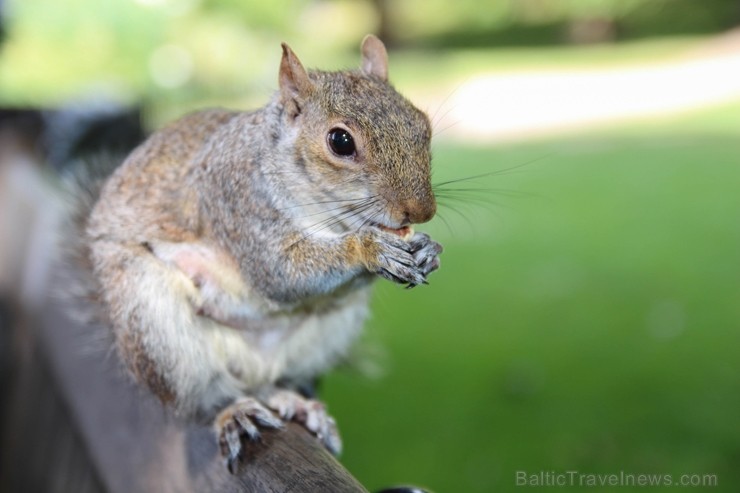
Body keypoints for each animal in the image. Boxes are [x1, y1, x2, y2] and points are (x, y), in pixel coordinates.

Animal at [79, 34, 442, 468]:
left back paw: (297, 405)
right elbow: (279, 273)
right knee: (204, 397)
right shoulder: (235, 200)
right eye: (340, 141)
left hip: (327, 332)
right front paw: (370, 249)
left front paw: (426, 251)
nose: (420, 211)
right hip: (153, 324)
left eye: (423, 126)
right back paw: (233, 412)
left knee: (269, 383)